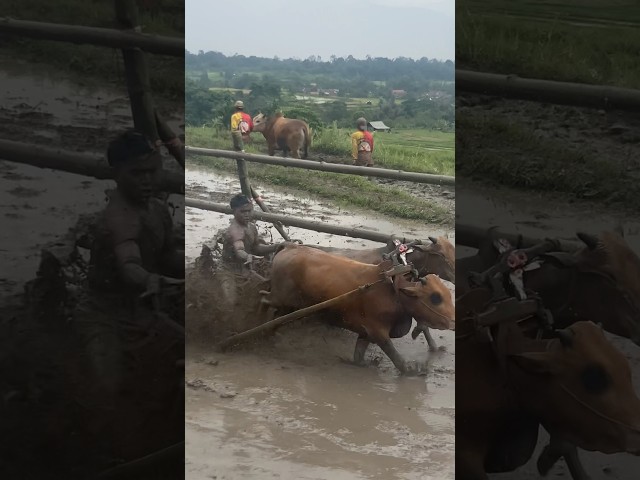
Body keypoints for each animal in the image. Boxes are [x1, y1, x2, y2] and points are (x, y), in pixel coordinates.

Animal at [260, 246, 456, 374]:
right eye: (435, 297)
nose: (454, 321)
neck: (394, 291)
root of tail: (289, 247)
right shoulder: (378, 332)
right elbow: (396, 358)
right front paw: (413, 370)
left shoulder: (366, 333)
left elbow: (359, 355)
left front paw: (365, 364)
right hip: (282, 299)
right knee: (264, 299)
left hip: (289, 305)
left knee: (274, 312)